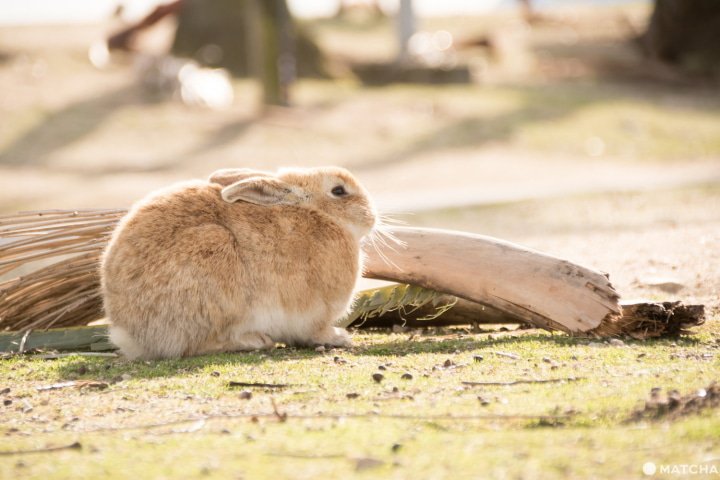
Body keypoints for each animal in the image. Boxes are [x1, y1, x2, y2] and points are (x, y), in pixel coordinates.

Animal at [100, 167, 376, 358]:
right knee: (195, 345)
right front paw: (340, 337)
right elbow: (315, 331)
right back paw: (254, 341)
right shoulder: (313, 314)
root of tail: (128, 332)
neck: (319, 214)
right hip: (213, 269)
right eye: (339, 191)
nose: (372, 217)